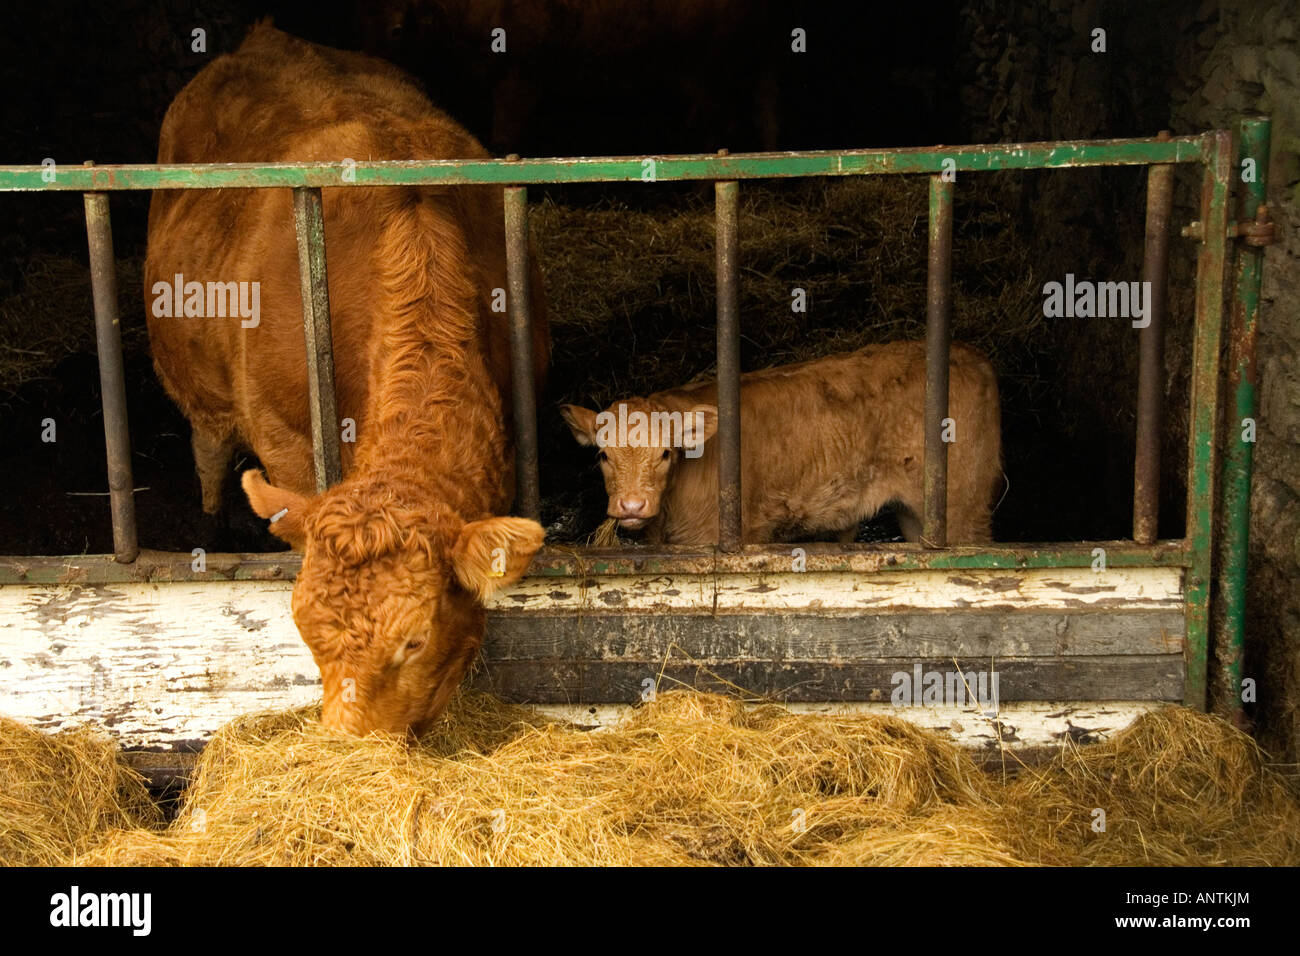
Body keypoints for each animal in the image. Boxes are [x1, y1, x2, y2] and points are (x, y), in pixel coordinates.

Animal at [145, 23, 549, 736]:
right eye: (304, 631)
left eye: (415, 639)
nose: (344, 744)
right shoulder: (283, 436)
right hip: (202, 394)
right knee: (209, 452)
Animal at [560, 341, 1001, 546]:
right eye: (602, 454)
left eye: (665, 452)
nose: (632, 505)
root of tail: (970, 355)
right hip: (918, 515)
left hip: (963, 508)